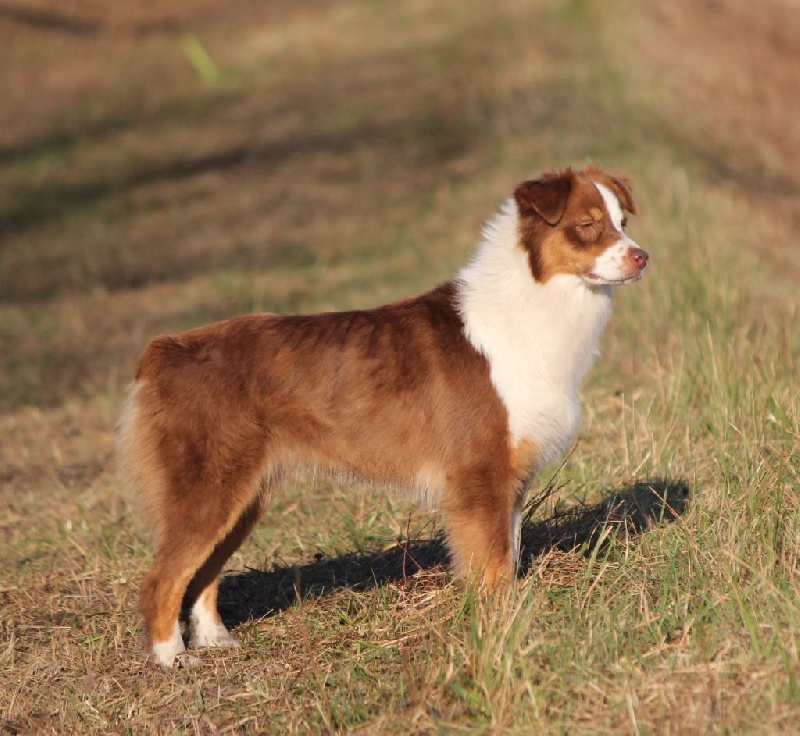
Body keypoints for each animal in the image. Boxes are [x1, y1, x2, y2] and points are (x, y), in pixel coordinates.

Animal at [115, 165, 648, 668]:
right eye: (587, 225)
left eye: (622, 223)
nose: (643, 256)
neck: (537, 300)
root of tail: (164, 350)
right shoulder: (479, 477)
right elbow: (493, 563)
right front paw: (499, 623)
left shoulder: (509, 479)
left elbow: (509, 554)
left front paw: (509, 617)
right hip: (208, 489)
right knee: (163, 577)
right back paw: (171, 657)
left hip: (242, 496)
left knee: (203, 571)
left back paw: (216, 641)